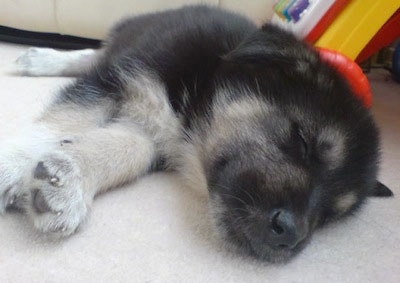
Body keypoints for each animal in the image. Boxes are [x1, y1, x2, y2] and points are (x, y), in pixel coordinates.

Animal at [1, 4, 392, 262]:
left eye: (330, 215)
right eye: (301, 141)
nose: (291, 239)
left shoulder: (152, 134)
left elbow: (126, 151)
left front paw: (69, 181)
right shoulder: (120, 77)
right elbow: (67, 116)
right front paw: (13, 162)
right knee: (94, 53)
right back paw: (41, 59)